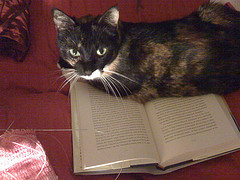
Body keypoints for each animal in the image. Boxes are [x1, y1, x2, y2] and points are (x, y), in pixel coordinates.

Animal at [51, 2, 240, 102]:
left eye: (101, 51)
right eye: (74, 51)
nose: (88, 70)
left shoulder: (120, 88)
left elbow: (82, 79)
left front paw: (63, 66)